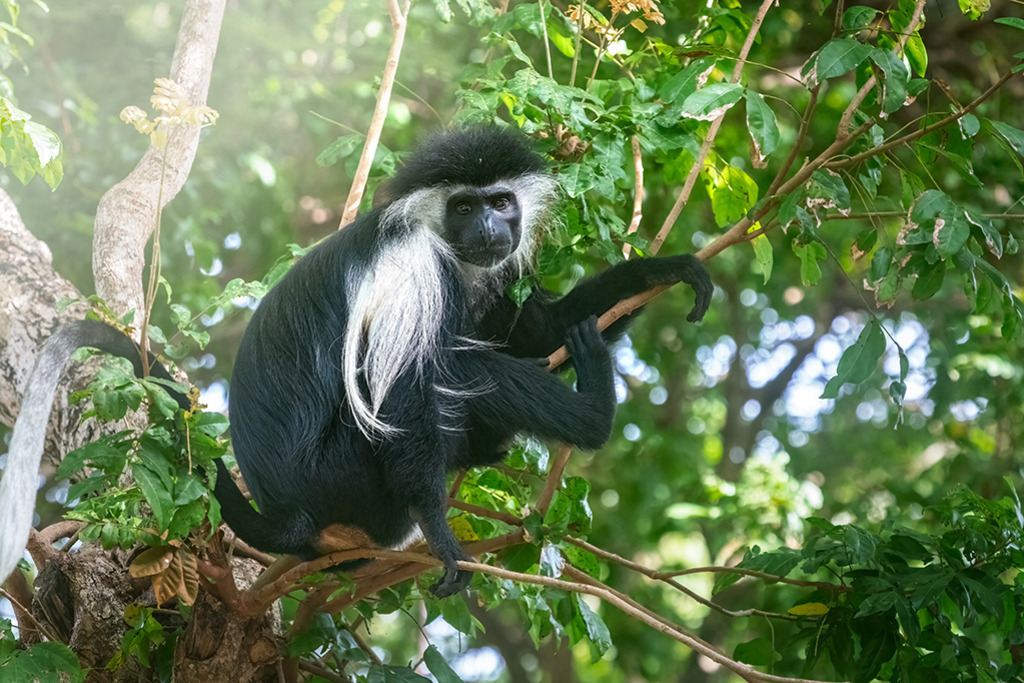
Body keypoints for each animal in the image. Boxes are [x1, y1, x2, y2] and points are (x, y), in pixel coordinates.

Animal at [0, 126, 712, 597]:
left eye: (500, 201)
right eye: (463, 206)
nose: (490, 229)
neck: (440, 240)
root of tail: (288, 510)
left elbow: (538, 331)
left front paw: (658, 272)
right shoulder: (416, 269)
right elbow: (404, 397)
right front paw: (444, 541)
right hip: (342, 474)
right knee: (453, 374)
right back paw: (591, 412)